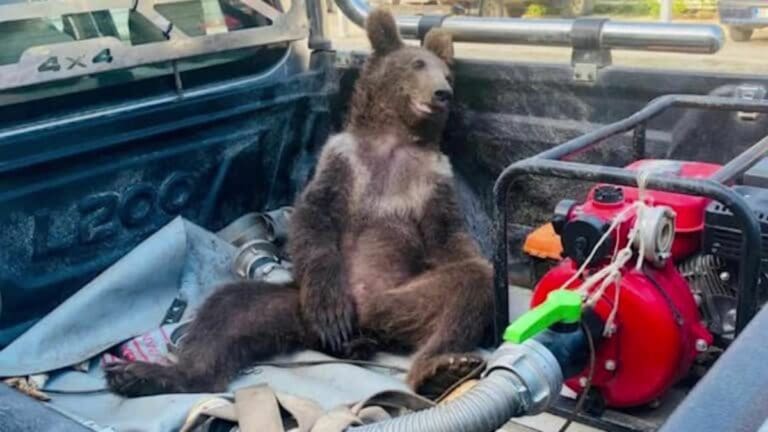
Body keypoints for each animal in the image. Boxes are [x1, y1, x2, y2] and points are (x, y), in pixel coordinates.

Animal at [104, 8, 495, 401]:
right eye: (417, 64)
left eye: (446, 74)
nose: (443, 92)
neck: (394, 140)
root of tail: (366, 329)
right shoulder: (342, 160)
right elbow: (315, 219)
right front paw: (331, 309)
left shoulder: (432, 179)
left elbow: (448, 237)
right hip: (293, 304)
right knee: (227, 311)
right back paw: (148, 374)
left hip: (399, 299)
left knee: (467, 287)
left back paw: (440, 368)